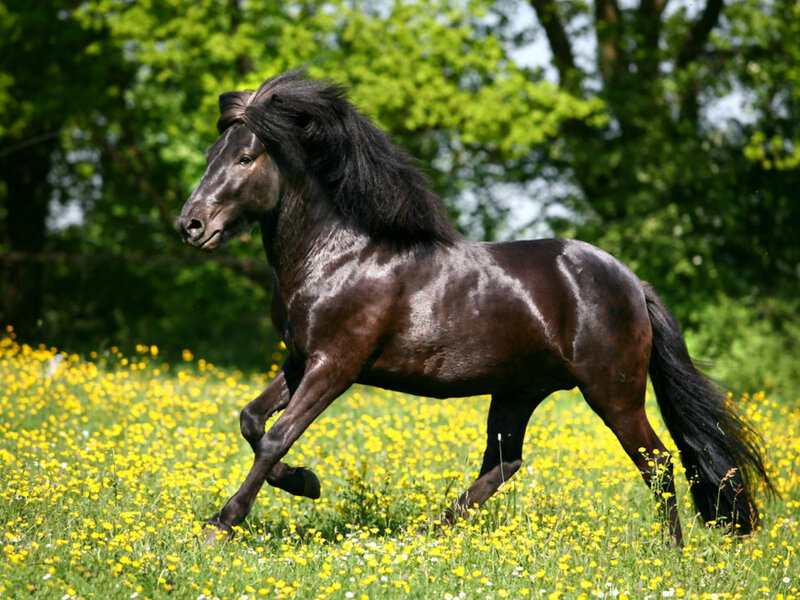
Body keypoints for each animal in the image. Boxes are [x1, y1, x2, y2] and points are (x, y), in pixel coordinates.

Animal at [176, 69, 771, 546]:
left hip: (613, 391)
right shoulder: (299, 359)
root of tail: (629, 281)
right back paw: (424, 535)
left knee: (658, 460)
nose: (190, 225)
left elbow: (276, 437)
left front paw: (221, 525)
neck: (337, 256)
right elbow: (251, 421)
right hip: (518, 390)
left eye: (246, 157)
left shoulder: (335, 365)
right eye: (210, 156)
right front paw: (307, 483)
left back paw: (672, 551)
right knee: (504, 462)